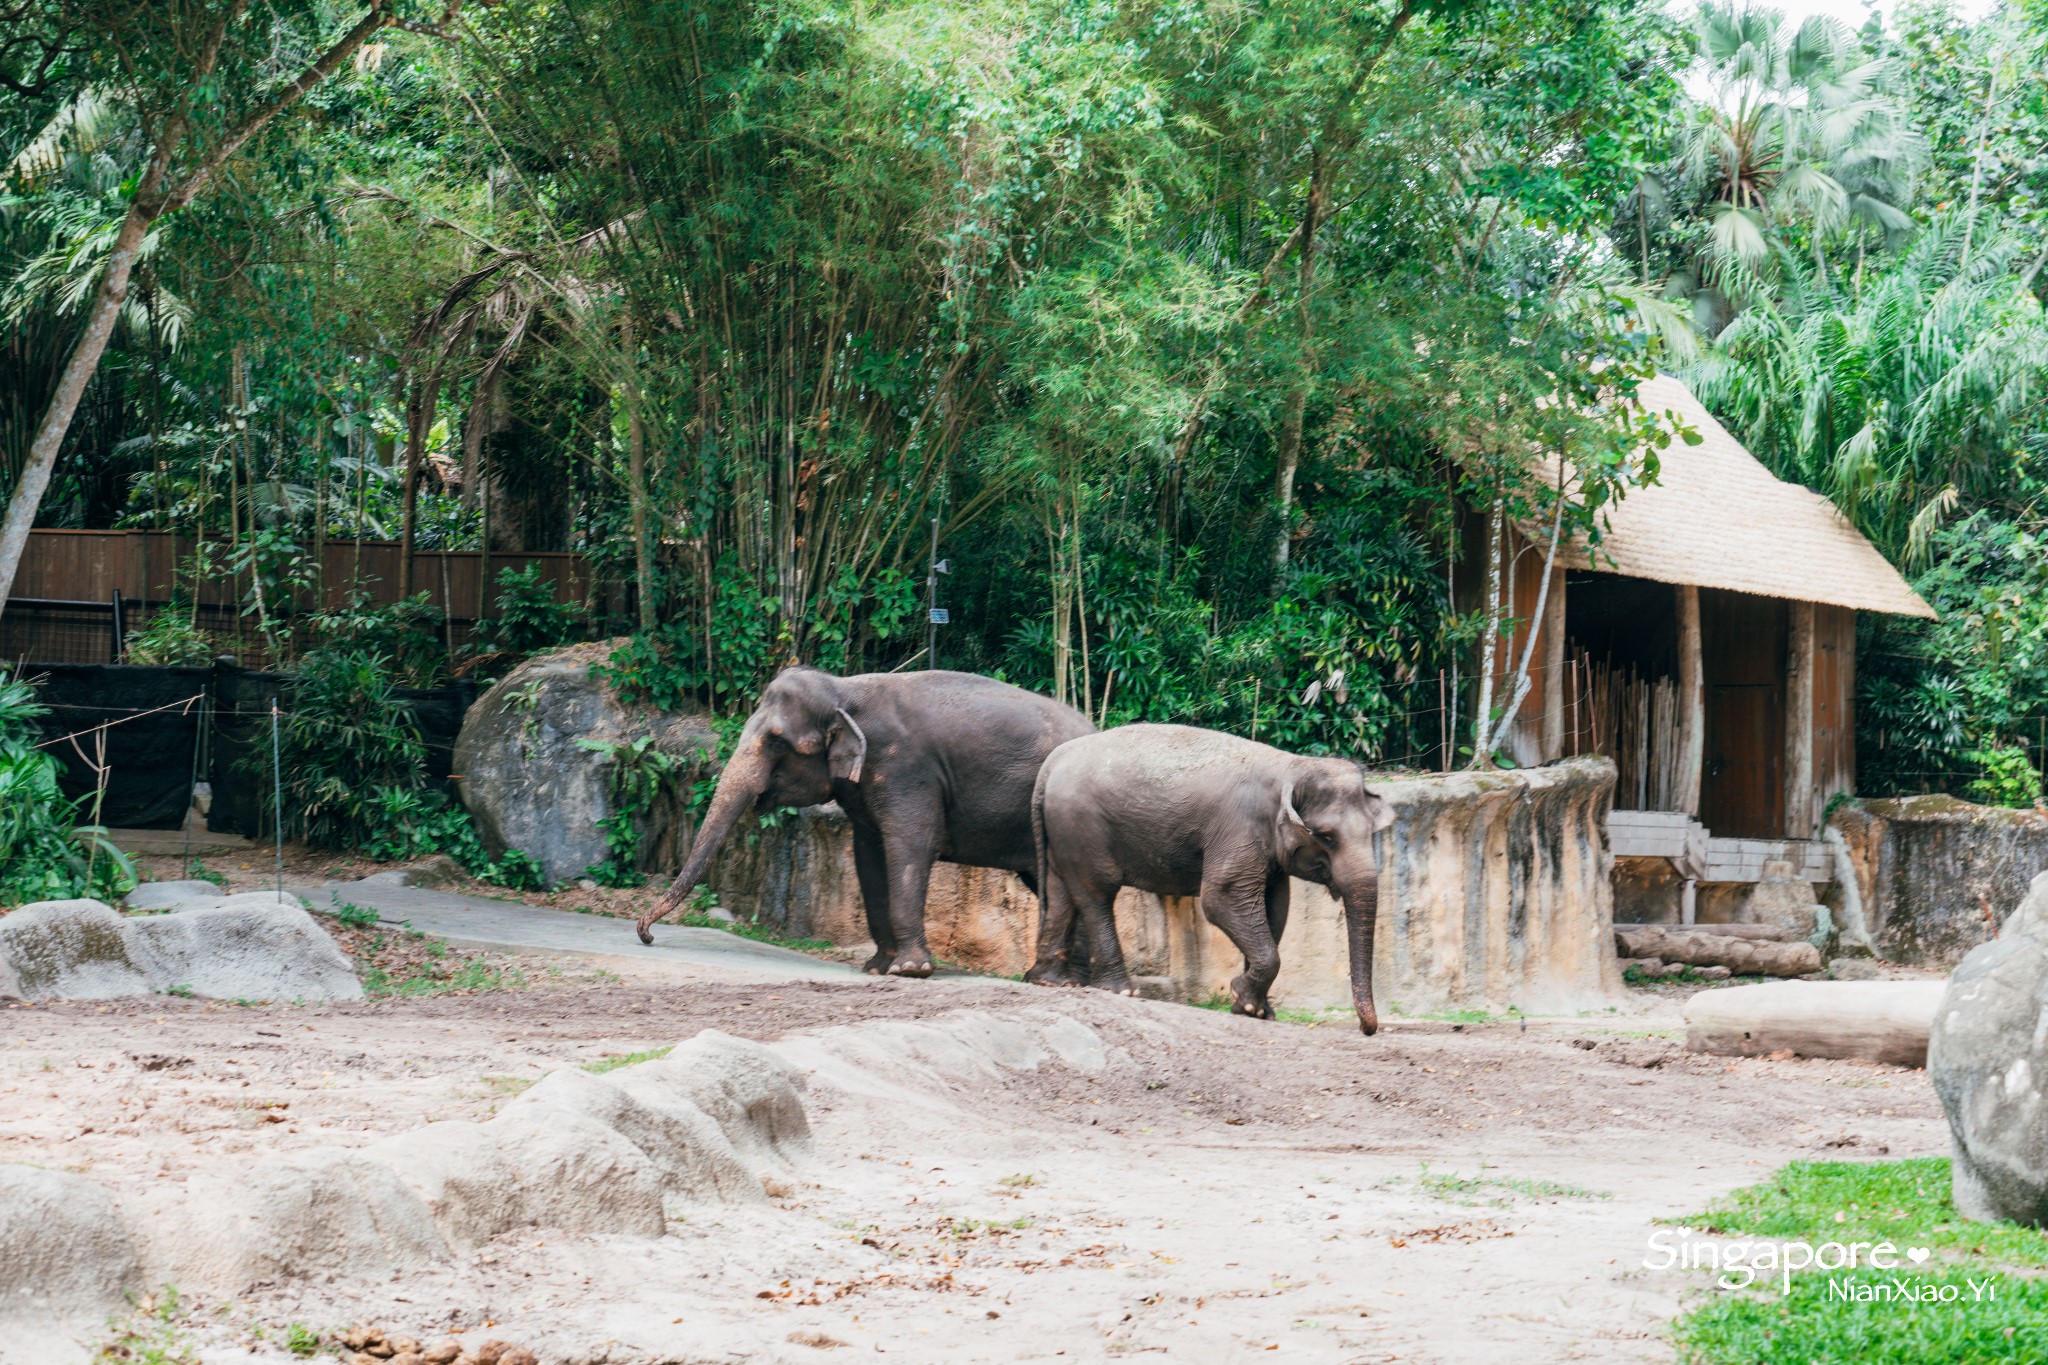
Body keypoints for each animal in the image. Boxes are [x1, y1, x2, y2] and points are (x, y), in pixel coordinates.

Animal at [634, 663, 1089, 970]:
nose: (648, 936)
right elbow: (868, 857)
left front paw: (911, 970)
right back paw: (1074, 979)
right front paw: (878, 967)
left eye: (777, 742)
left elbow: (910, 847)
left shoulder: (906, 769)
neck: (845, 690)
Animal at [1032, 724, 1400, 1035]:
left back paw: (1051, 982)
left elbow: (1276, 908)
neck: (1291, 766)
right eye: (1326, 836)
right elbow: (1221, 898)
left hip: (1064, 831)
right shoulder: (1240, 828)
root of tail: (1051, 763)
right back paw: (1120, 991)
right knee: (1097, 894)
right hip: (1082, 827)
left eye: (1371, 833)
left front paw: (1256, 1010)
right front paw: (1244, 999)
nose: (1367, 1029)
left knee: (1061, 891)